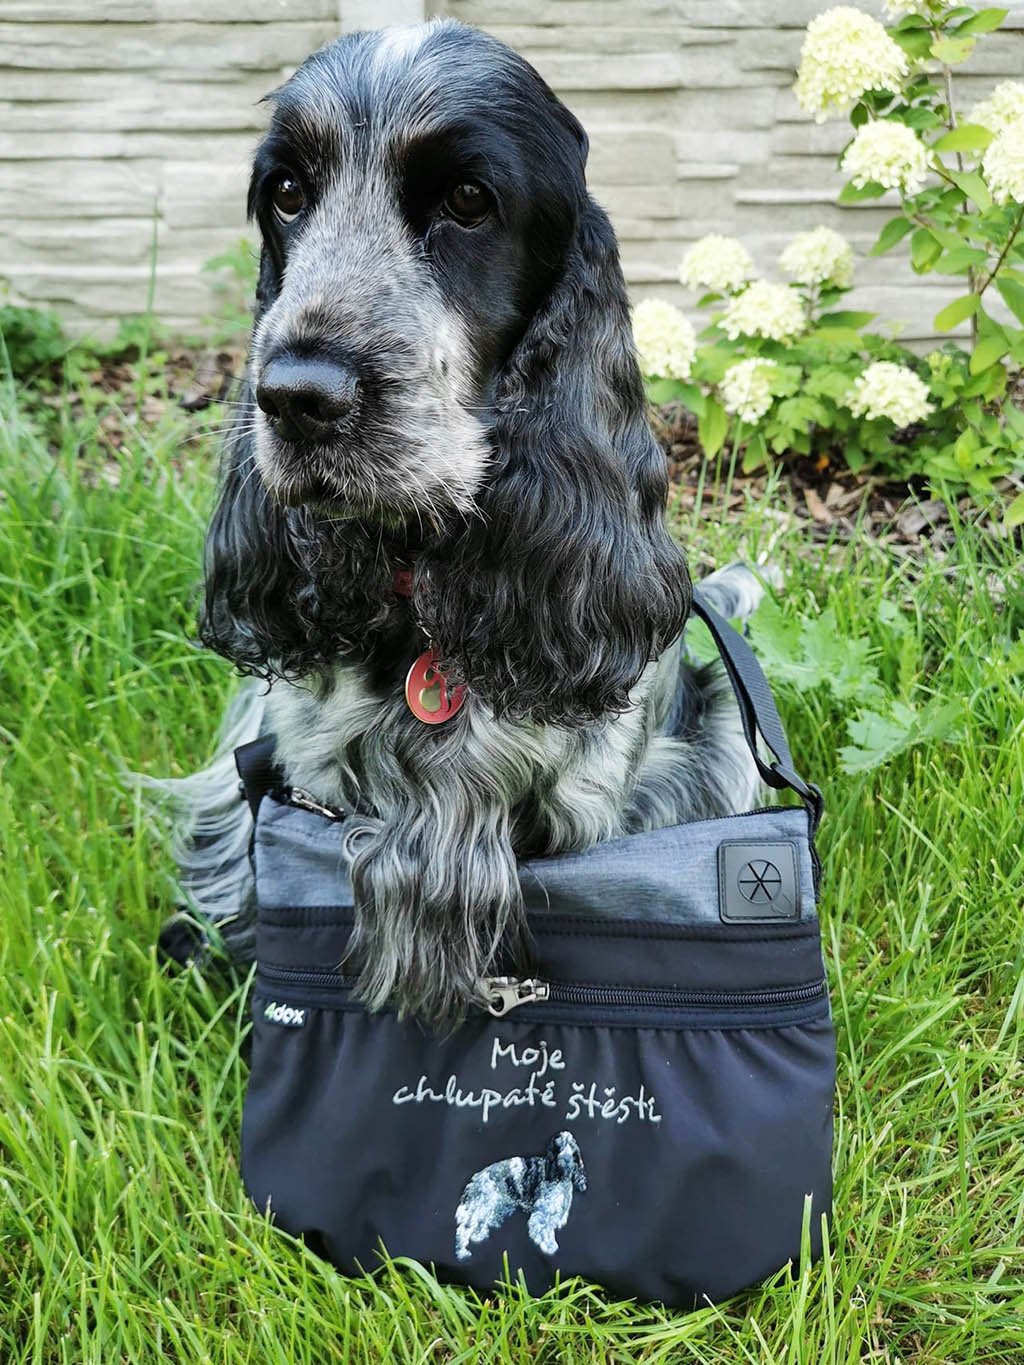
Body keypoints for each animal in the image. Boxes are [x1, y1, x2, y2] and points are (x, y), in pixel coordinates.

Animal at [456, 1124, 589, 1261]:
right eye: (558, 1147)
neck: (559, 1175)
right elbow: (545, 1230)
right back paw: (462, 1253)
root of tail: (477, 1177)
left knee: (480, 1223)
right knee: (464, 1229)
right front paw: (550, 1247)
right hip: (481, 1206)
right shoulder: (543, 1213)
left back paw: (479, 1236)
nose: (566, 1160)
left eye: (571, 1147)